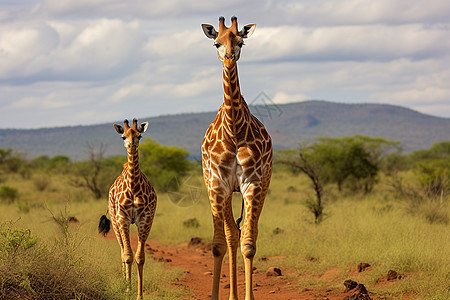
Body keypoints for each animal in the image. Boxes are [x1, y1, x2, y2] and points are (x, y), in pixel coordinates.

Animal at [98, 118, 156, 298]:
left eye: (139, 135)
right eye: (123, 137)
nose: (131, 145)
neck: (133, 186)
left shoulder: (145, 220)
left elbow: (140, 257)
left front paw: (139, 294)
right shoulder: (122, 218)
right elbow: (128, 255)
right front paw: (128, 290)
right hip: (116, 222)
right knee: (122, 252)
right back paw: (124, 282)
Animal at [201, 17, 272, 300]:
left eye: (240, 41)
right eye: (216, 43)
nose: (229, 58)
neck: (234, 127)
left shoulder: (252, 183)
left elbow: (248, 243)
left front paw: (247, 296)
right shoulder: (218, 184)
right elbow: (222, 242)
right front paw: (221, 295)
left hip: (260, 186)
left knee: (246, 232)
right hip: (220, 189)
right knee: (229, 236)